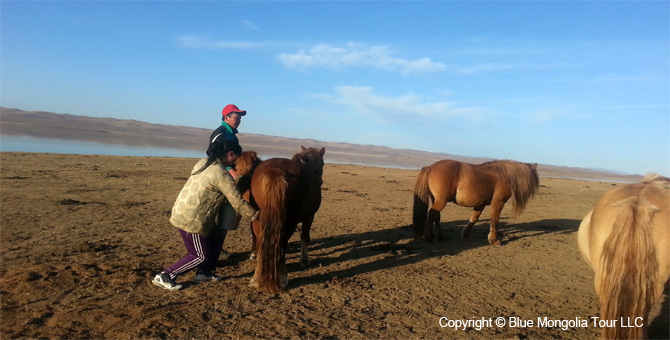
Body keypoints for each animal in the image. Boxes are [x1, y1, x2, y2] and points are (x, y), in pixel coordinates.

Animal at [412, 158, 544, 246]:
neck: (504, 176)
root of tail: (430, 167)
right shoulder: (498, 202)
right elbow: (494, 220)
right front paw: (494, 240)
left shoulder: (480, 204)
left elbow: (474, 219)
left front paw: (465, 234)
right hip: (441, 201)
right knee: (432, 214)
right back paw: (429, 236)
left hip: (437, 200)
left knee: (436, 217)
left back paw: (441, 237)